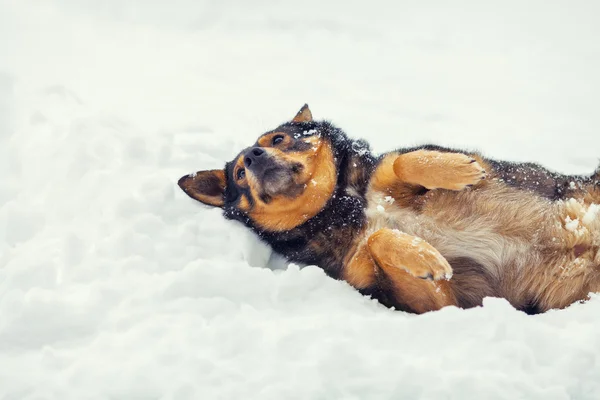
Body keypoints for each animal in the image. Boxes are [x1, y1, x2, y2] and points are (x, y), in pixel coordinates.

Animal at [178, 104, 600, 314]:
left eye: (279, 138)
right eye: (237, 174)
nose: (252, 156)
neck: (343, 206)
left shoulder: (389, 174)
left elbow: (400, 162)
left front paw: (457, 170)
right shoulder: (437, 301)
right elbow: (380, 239)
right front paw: (423, 255)